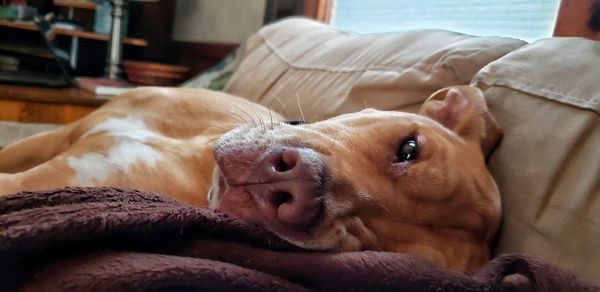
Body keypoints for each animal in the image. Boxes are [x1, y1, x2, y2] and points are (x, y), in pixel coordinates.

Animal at [0, 85, 502, 274]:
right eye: (409, 149)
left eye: (382, 247)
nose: (295, 191)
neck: (196, 149)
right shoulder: (47, 139)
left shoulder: (62, 175)